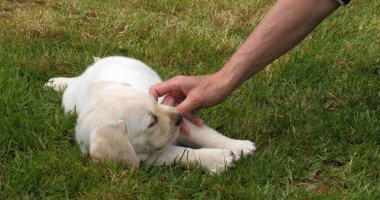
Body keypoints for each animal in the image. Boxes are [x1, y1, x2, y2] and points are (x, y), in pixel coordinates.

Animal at [46, 56, 255, 173]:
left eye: (154, 102)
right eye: (151, 123)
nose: (178, 117)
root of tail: (84, 78)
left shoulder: (174, 111)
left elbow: (207, 135)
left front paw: (240, 146)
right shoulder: (145, 156)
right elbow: (183, 154)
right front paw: (219, 160)